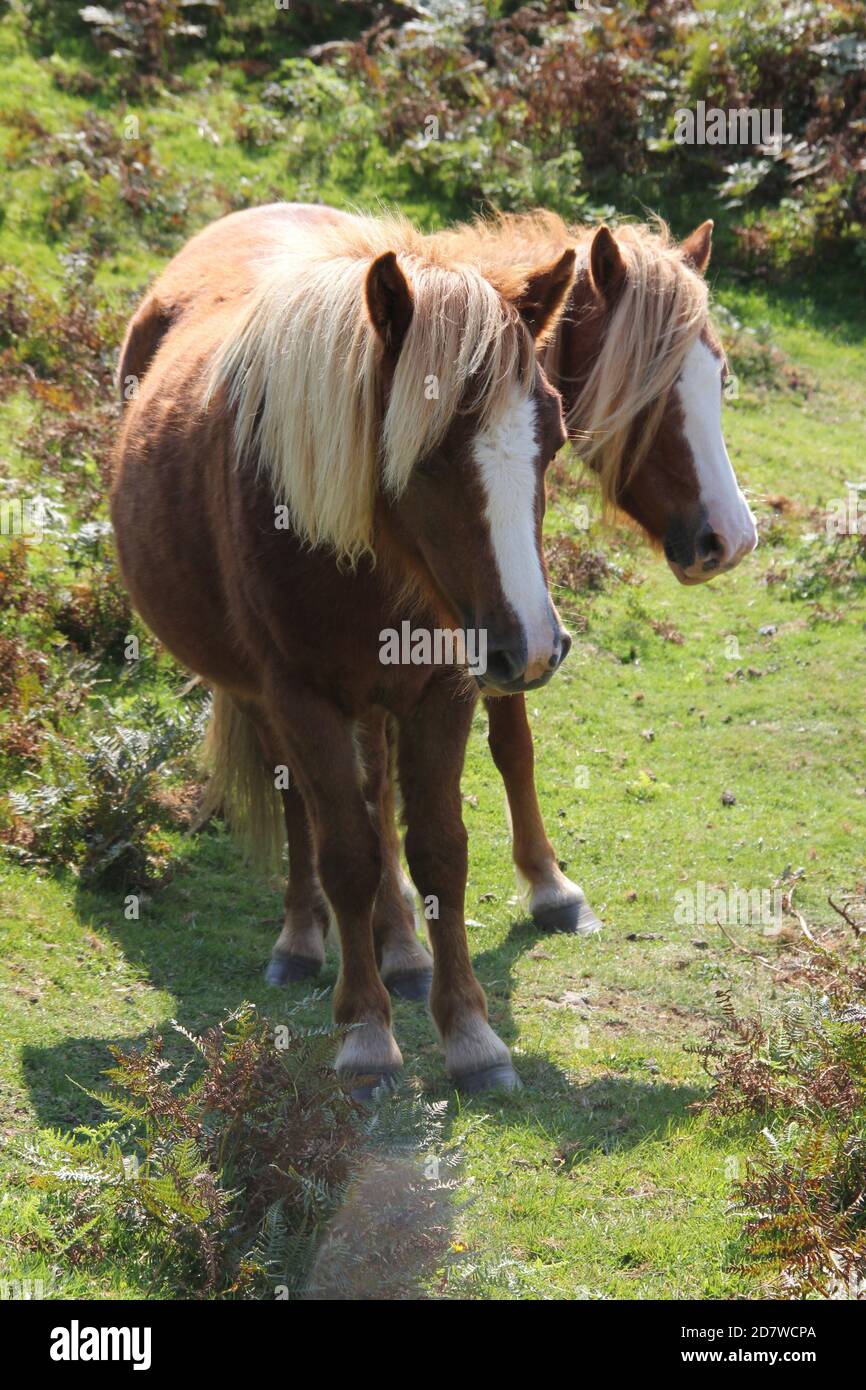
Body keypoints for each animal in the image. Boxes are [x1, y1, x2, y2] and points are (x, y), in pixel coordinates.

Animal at [109, 202, 583, 1095]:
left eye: (554, 439)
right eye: (427, 454)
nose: (531, 648)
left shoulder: (441, 688)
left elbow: (436, 851)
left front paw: (470, 1034)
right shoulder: (301, 695)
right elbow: (347, 856)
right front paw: (366, 1033)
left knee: (378, 796)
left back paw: (402, 947)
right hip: (270, 697)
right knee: (307, 811)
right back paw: (302, 940)